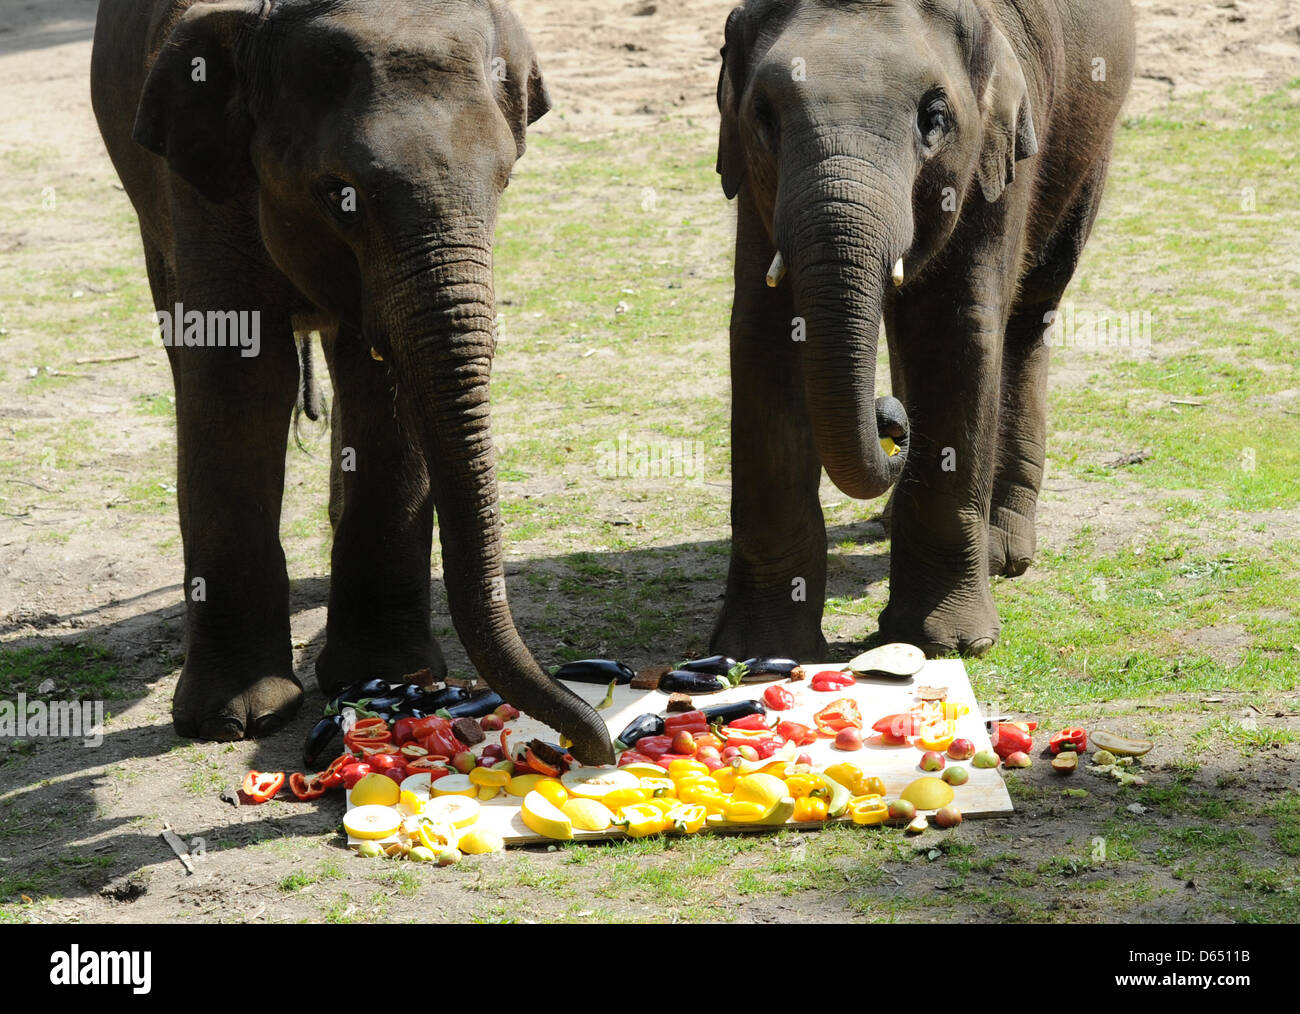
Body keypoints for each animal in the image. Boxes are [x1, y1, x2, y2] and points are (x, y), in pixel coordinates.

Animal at [90, 0, 613, 759]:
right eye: (340, 193)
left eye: (505, 181)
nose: (593, 746)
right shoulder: (202, 189)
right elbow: (238, 378)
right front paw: (235, 719)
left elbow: (382, 383)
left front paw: (385, 676)